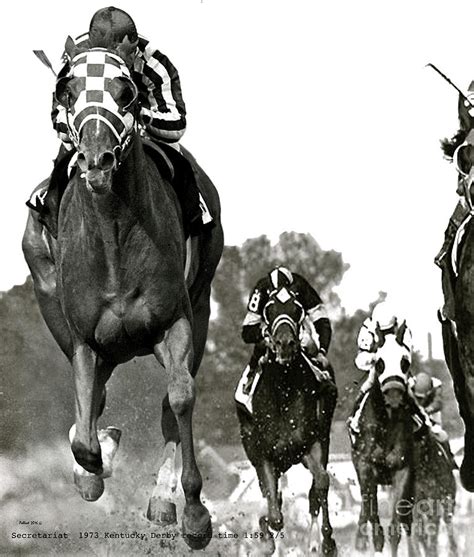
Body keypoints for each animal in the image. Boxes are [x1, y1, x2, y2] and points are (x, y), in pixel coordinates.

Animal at [21, 38, 223, 548]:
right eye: (68, 90)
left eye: (127, 92)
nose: (97, 160)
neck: (113, 233)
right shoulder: (83, 339)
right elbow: (84, 429)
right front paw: (93, 466)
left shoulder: (175, 321)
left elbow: (179, 398)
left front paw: (192, 513)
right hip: (51, 299)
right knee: (94, 399)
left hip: (200, 304)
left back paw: (163, 499)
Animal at [235, 284, 338, 552]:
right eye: (268, 309)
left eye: (297, 308)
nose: (285, 344)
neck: (282, 390)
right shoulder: (265, 456)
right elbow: (275, 514)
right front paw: (266, 538)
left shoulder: (306, 445)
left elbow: (321, 483)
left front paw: (326, 542)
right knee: (272, 498)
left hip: (318, 442)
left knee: (315, 491)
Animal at [350, 334, 416, 556]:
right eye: (379, 363)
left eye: (405, 362)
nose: (394, 396)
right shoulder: (365, 467)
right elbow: (372, 516)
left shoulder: (402, 470)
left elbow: (395, 528)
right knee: (366, 507)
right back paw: (360, 541)